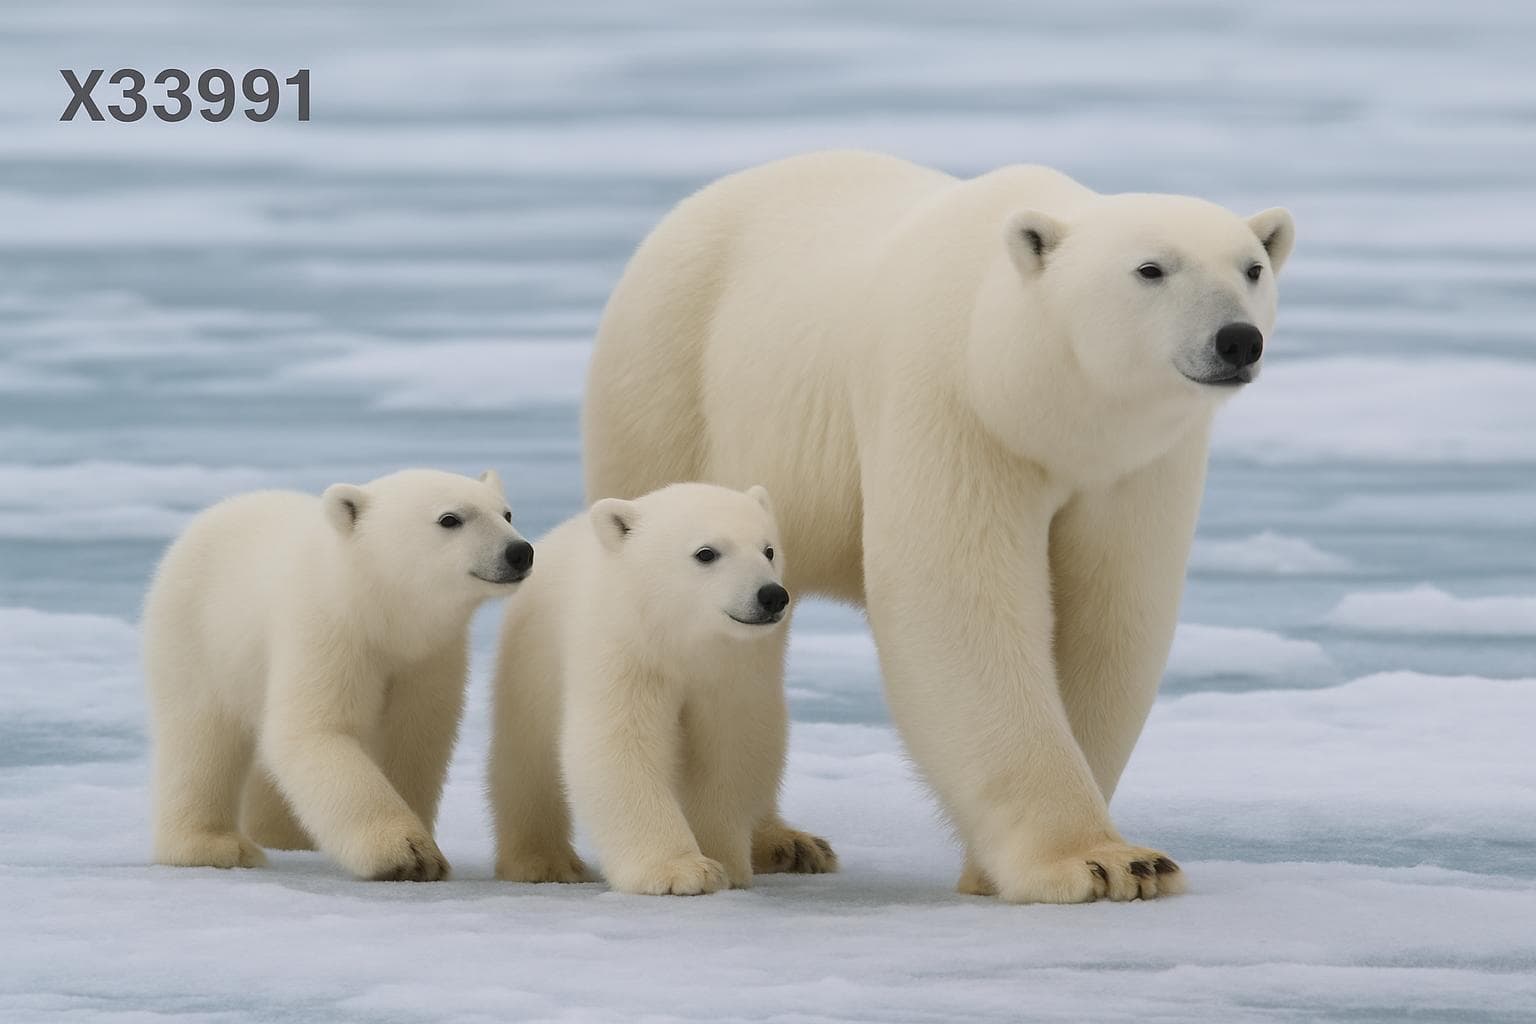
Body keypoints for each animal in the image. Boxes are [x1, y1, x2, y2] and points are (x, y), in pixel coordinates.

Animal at [143, 468, 533, 881]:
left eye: (506, 513)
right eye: (450, 518)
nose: (519, 552)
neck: (375, 604)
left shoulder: (428, 657)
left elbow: (414, 738)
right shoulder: (328, 630)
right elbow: (317, 730)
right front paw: (408, 853)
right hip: (195, 635)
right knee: (199, 737)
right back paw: (213, 845)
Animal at [488, 483, 814, 895]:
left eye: (768, 549)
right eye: (706, 552)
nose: (771, 595)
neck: (678, 639)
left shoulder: (733, 671)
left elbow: (730, 749)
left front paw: (726, 860)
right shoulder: (628, 654)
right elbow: (622, 744)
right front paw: (682, 870)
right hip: (533, 661)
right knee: (527, 760)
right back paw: (543, 861)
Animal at [581, 150, 1295, 903]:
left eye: (1252, 267)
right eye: (1151, 268)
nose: (1237, 340)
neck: (1025, 386)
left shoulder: (1136, 466)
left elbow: (1111, 616)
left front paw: (1089, 862)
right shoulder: (954, 406)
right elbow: (958, 601)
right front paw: (1096, 862)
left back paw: (783, 841)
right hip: (669, 387)